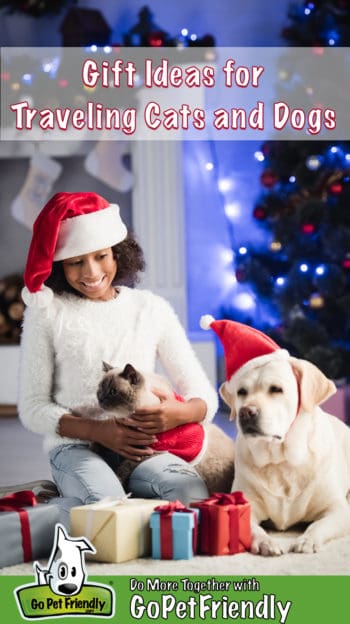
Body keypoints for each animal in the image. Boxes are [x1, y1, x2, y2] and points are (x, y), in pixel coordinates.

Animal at [220, 356, 350, 556]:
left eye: (276, 389)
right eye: (241, 392)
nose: (245, 412)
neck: (281, 462)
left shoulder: (338, 509)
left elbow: (318, 525)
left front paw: (307, 540)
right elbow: (252, 528)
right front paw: (266, 541)